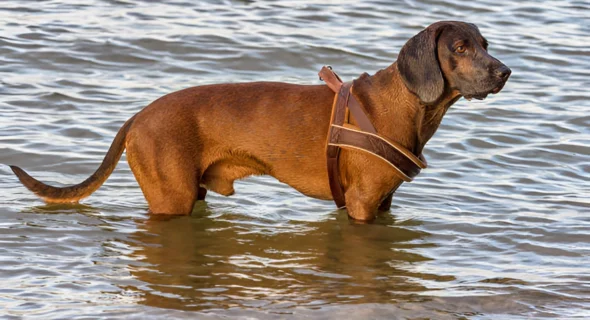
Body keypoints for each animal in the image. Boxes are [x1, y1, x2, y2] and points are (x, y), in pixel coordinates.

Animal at [12, 20, 512, 220]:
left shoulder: (383, 203)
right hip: (172, 199)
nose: (505, 72)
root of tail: (137, 116)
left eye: (485, 44)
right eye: (460, 47)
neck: (407, 104)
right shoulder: (362, 205)